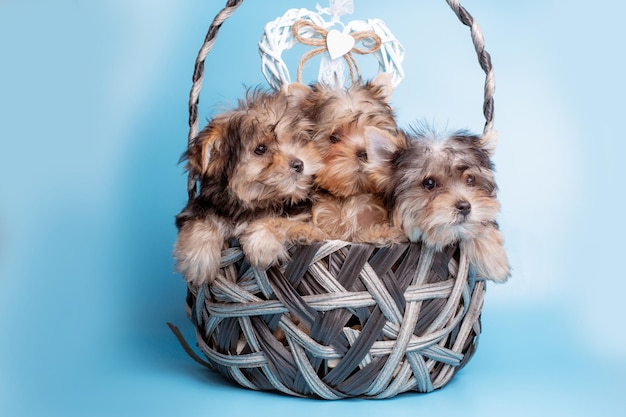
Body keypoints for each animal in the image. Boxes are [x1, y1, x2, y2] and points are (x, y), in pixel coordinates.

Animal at [174, 85, 322, 284]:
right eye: (260, 149)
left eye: (295, 139)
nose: (299, 164)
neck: (251, 205)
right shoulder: (201, 206)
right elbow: (200, 220)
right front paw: (198, 260)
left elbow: (279, 219)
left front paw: (263, 243)